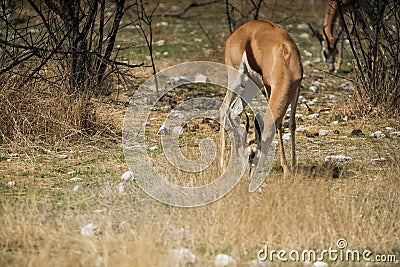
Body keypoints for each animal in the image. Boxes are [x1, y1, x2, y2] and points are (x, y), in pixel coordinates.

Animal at [219, 20, 304, 184]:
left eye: (252, 154)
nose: (249, 176)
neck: (285, 60)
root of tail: (237, 32)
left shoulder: (296, 88)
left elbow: (291, 124)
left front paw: (293, 168)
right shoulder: (268, 86)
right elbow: (278, 124)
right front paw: (286, 170)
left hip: (252, 85)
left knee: (235, 110)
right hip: (236, 78)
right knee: (224, 108)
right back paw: (222, 164)